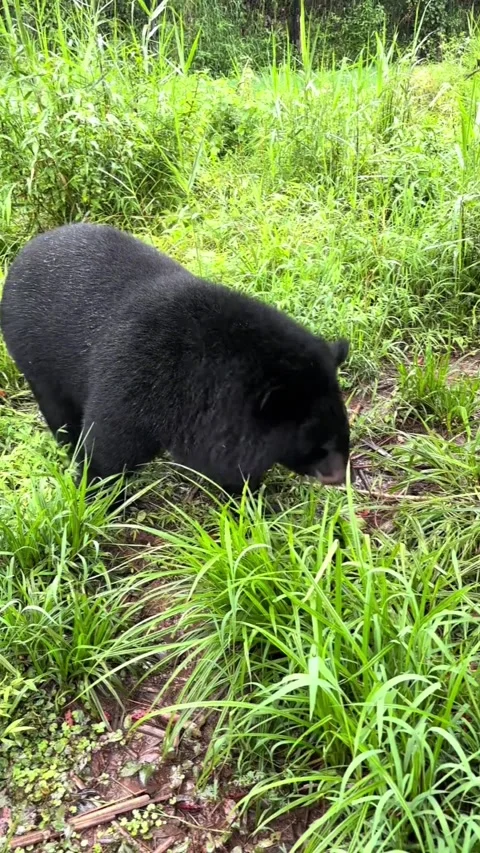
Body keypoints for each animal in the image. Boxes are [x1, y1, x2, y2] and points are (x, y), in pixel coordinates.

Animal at [0, 223, 350, 494]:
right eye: (317, 443)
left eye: (343, 430)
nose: (339, 477)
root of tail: (23, 254)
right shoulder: (133, 381)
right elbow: (108, 448)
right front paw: (95, 496)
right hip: (35, 360)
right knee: (59, 414)